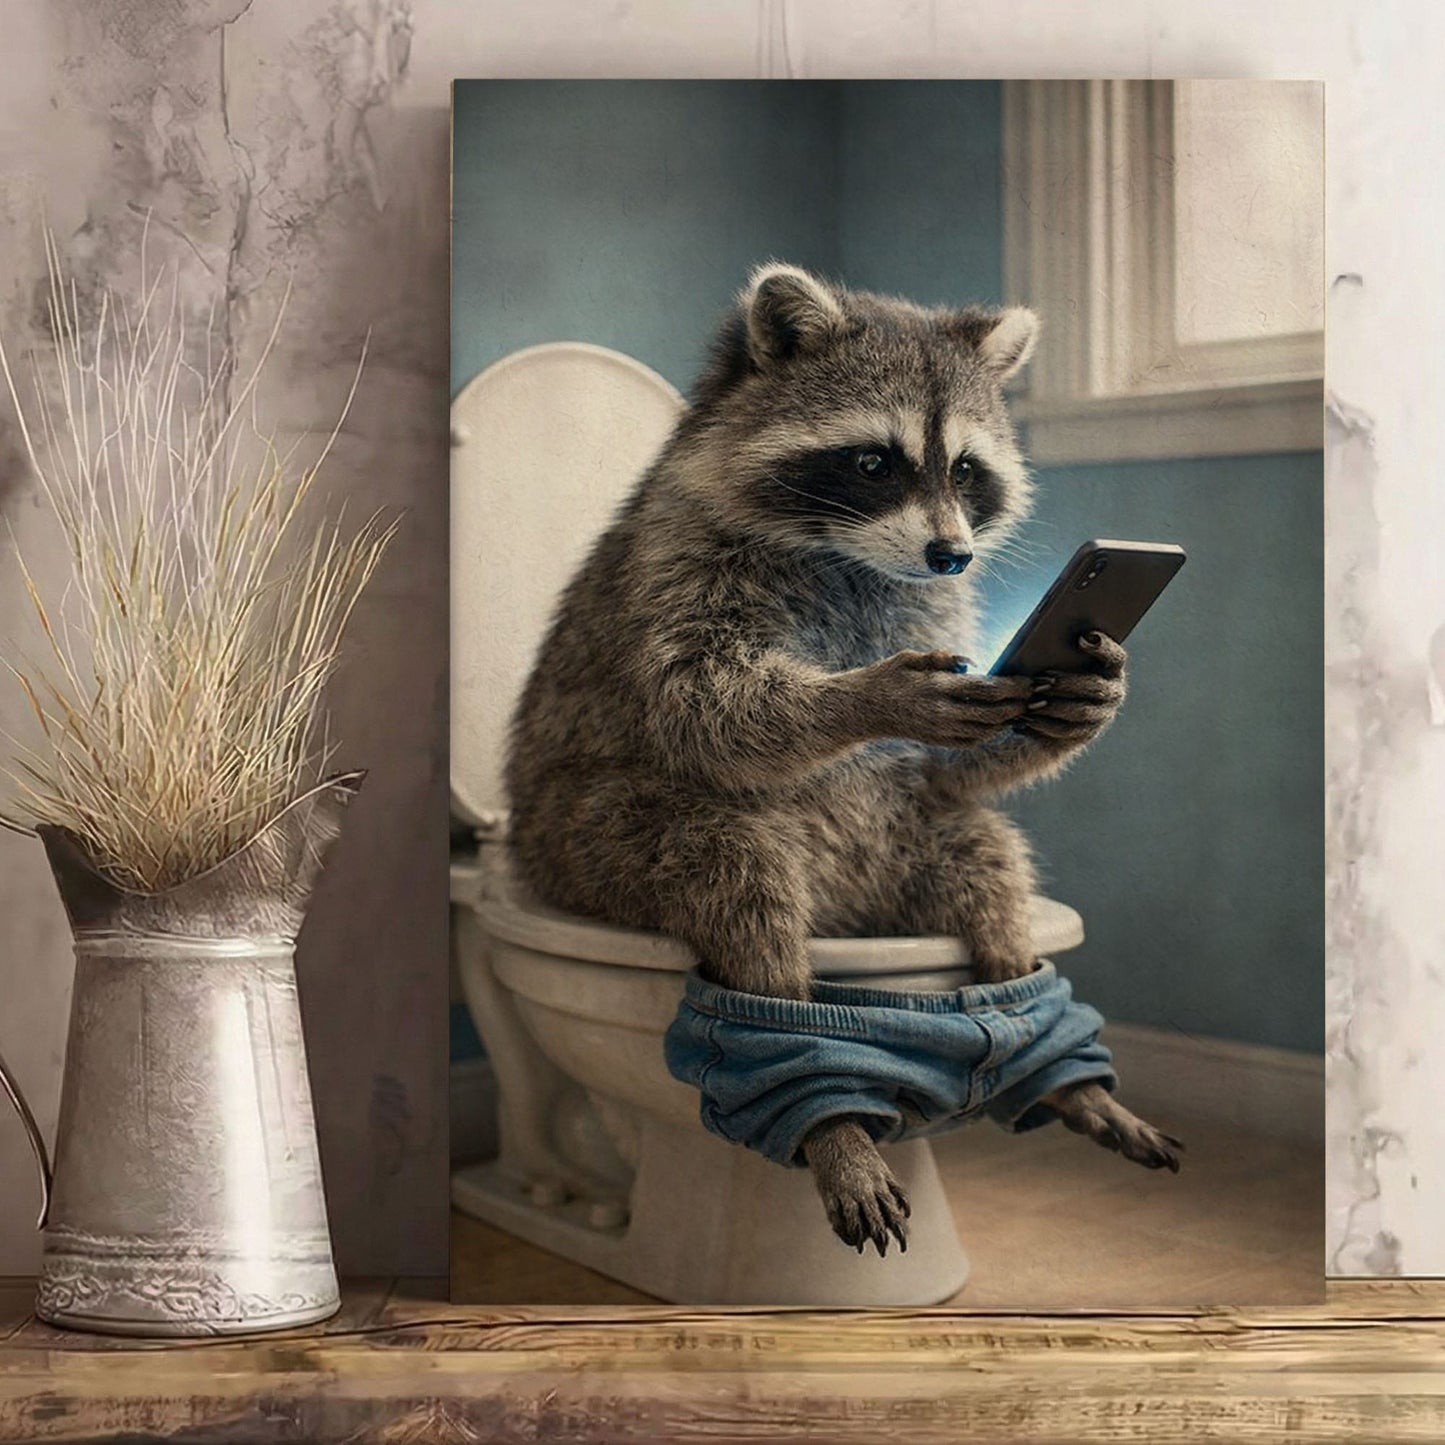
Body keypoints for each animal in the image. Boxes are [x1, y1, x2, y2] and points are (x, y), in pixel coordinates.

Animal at [507, 263, 1182, 1256]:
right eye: (873, 463)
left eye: (965, 470)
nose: (952, 553)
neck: (848, 554)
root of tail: (844, 905)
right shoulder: (677, 564)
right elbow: (698, 707)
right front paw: (863, 696)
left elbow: (947, 769)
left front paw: (1080, 701)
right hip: (580, 839)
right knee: (731, 866)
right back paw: (829, 1119)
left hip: (904, 847)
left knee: (984, 853)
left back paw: (1060, 1065)